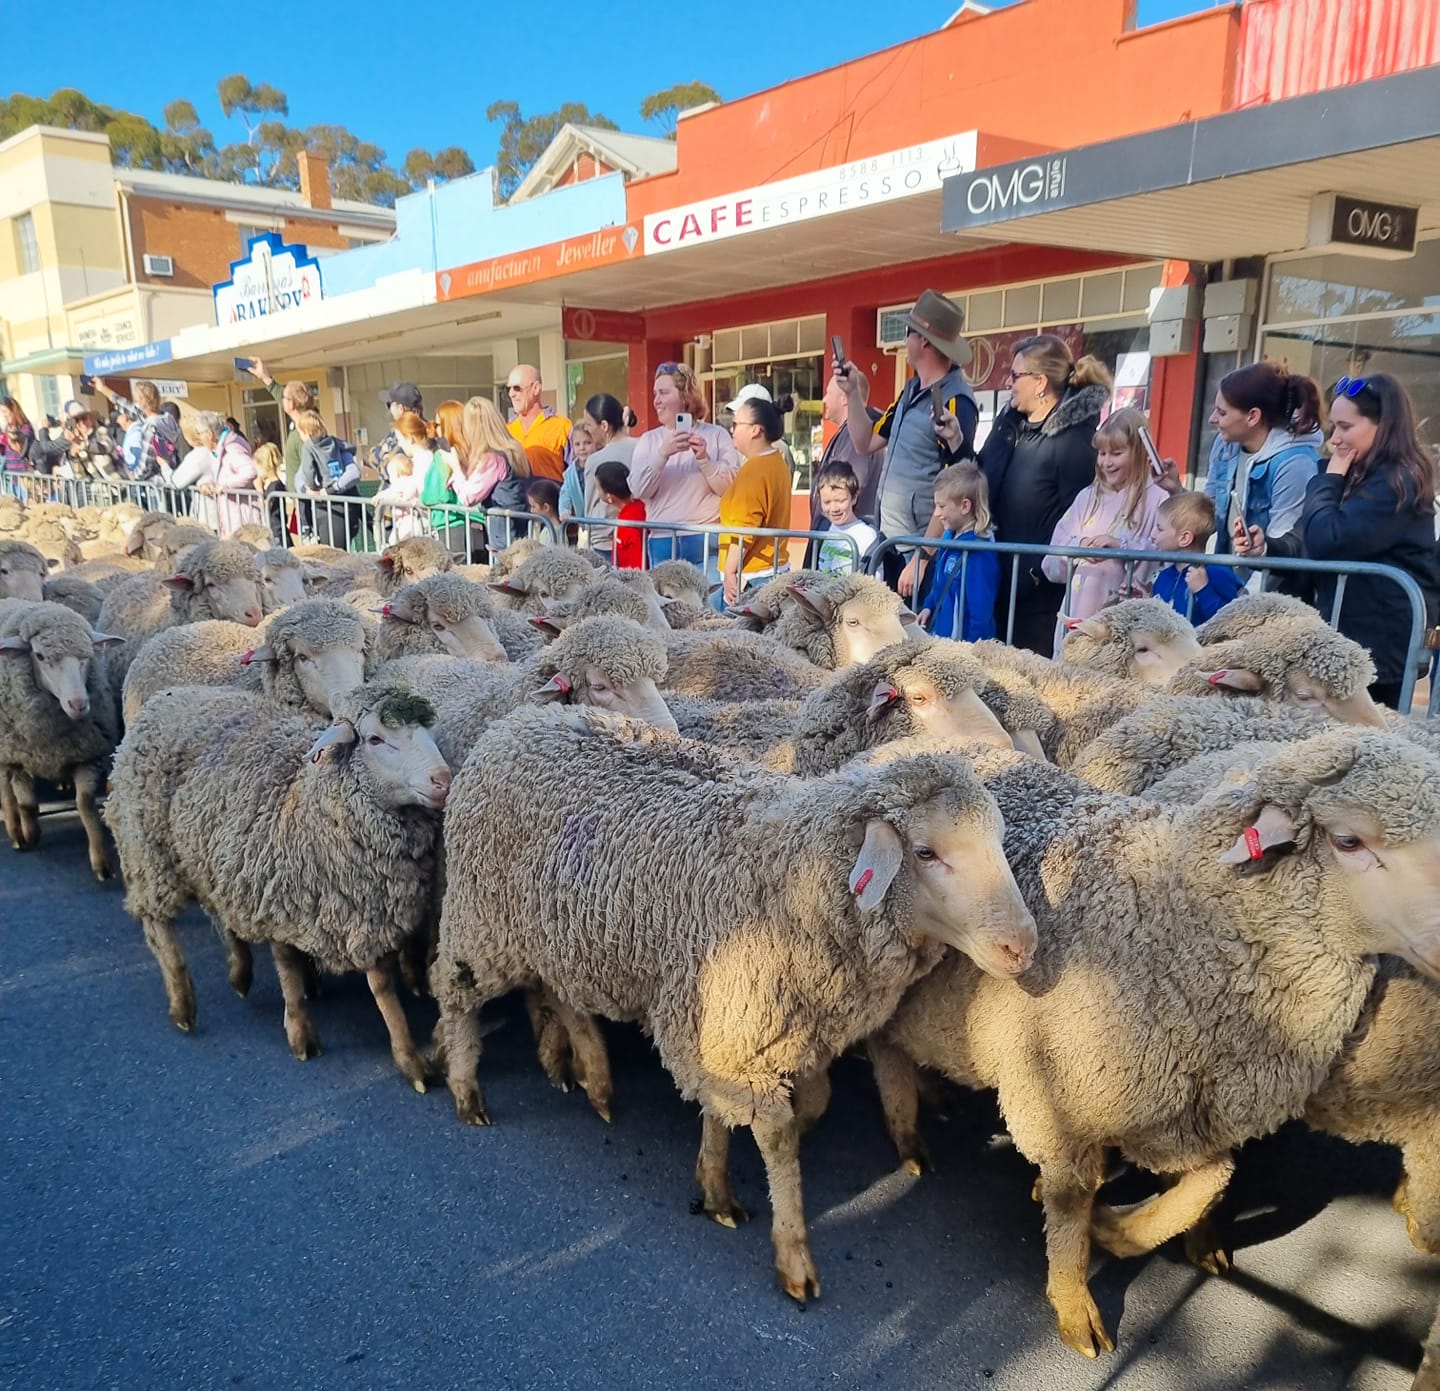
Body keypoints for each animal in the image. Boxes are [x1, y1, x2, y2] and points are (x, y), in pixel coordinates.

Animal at [0, 600, 121, 880]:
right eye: (40, 656)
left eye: (87, 656)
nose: (78, 704)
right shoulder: (19, 757)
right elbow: (27, 804)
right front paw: (30, 833)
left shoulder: (88, 756)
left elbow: (85, 804)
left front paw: (101, 863)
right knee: (5, 789)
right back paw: (14, 830)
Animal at [104, 681, 451, 1089]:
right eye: (376, 739)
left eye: (429, 731)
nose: (443, 780)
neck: (306, 797)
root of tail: (167, 697)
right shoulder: (286, 898)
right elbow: (294, 971)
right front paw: (303, 1033)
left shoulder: (363, 905)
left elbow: (380, 985)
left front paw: (408, 1056)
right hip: (148, 849)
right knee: (159, 927)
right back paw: (182, 1003)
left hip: (212, 854)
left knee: (219, 911)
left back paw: (240, 970)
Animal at [433, 705, 1037, 1303]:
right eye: (927, 852)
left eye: (999, 842)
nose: (1023, 946)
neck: (798, 879)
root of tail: (520, 719)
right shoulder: (726, 1026)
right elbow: (777, 1135)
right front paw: (791, 1252)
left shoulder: (757, 1031)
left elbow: (791, 1104)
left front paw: (716, 1181)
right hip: (479, 916)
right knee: (456, 992)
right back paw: (466, 1089)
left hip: (553, 932)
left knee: (562, 995)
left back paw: (594, 1079)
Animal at [870, 730, 1440, 1357]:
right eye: (1348, 840)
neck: (1182, 922)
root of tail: (906, 746)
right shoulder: (1057, 1098)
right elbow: (1070, 1206)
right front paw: (1076, 1297)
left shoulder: (1185, 1107)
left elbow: (1211, 1180)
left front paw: (1141, 1234)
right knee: (883, 1054)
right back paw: (908, 1136)